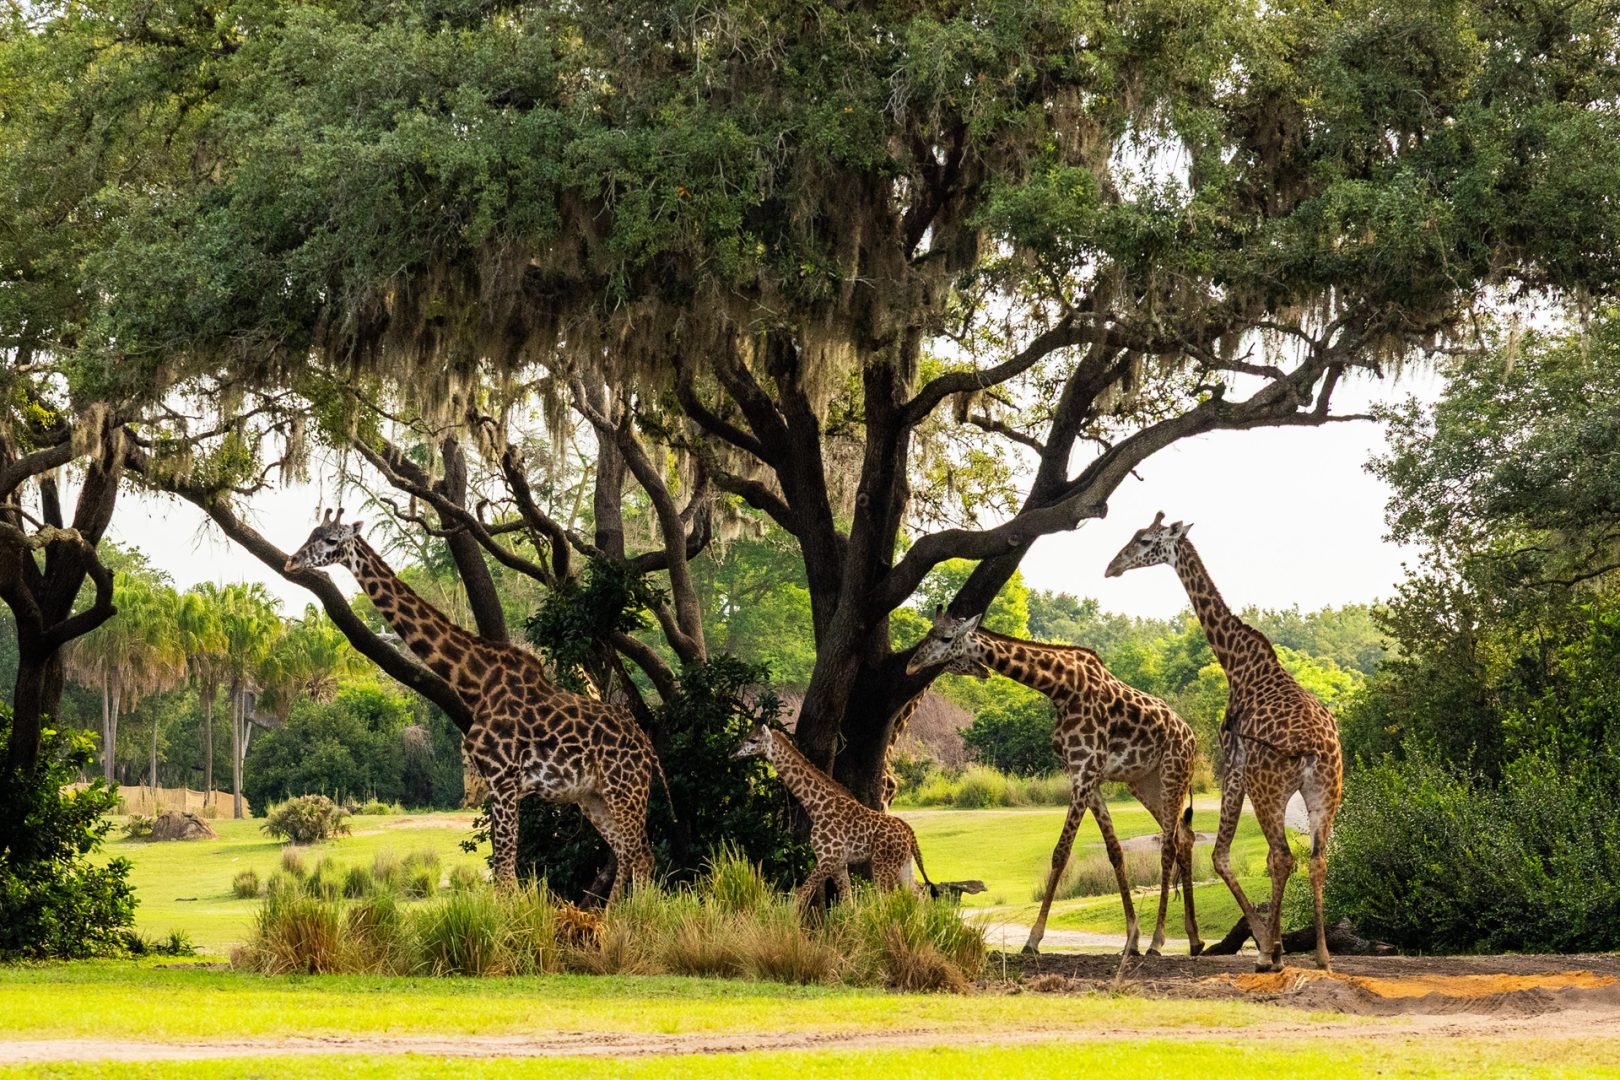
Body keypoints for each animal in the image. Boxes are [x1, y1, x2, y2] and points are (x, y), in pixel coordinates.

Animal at [285, 509, 667, 898]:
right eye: (310, 534)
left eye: (332, 540)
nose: (291, 562)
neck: (475, 682)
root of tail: (649, 749)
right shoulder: (497, 784)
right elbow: (503, 873)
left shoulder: (504, 780)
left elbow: (504, 876)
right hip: (593, 795)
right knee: (625, 852)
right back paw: (613, 911)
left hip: (625, 788)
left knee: (642, 855)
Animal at [733, 724, 935, 911]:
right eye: (747, 735)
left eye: (753, 740)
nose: (733, 752)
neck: (816, 806)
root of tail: (910, 834)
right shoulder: (839, 863)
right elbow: (848, 902)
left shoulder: (827, 858)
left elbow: (799, 894)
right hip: (903, 864)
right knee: (919, 893)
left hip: (883, 865)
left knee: (888, 899)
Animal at [907, 608, 1201, 957]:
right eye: (927, 632)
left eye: (946, 638)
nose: (911, 664)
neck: (1061, 688)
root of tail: (1193, 740)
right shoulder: (1086, 775)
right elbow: (1114, 850)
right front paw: (1131, 939)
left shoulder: (1086, 770)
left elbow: (1061, 852)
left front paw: (1033, 939)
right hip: (1145, 783)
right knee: (1185, 836)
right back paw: (1194, 939)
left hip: (1173, 774)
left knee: (1169, 844)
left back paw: (1158, 941)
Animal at [1106, 513, 1343, 972]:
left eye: (1143, 540)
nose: (1112, 567)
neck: (1238, 662)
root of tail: (1312, 751)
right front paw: (1276, 942)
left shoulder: (1232, 764)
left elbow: (1220, 855)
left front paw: (1269, 945)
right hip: (1327, 791)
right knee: (1316, 859)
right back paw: (1323, 956)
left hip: (1269, 788)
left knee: (1283, 857)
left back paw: (1271, 957)